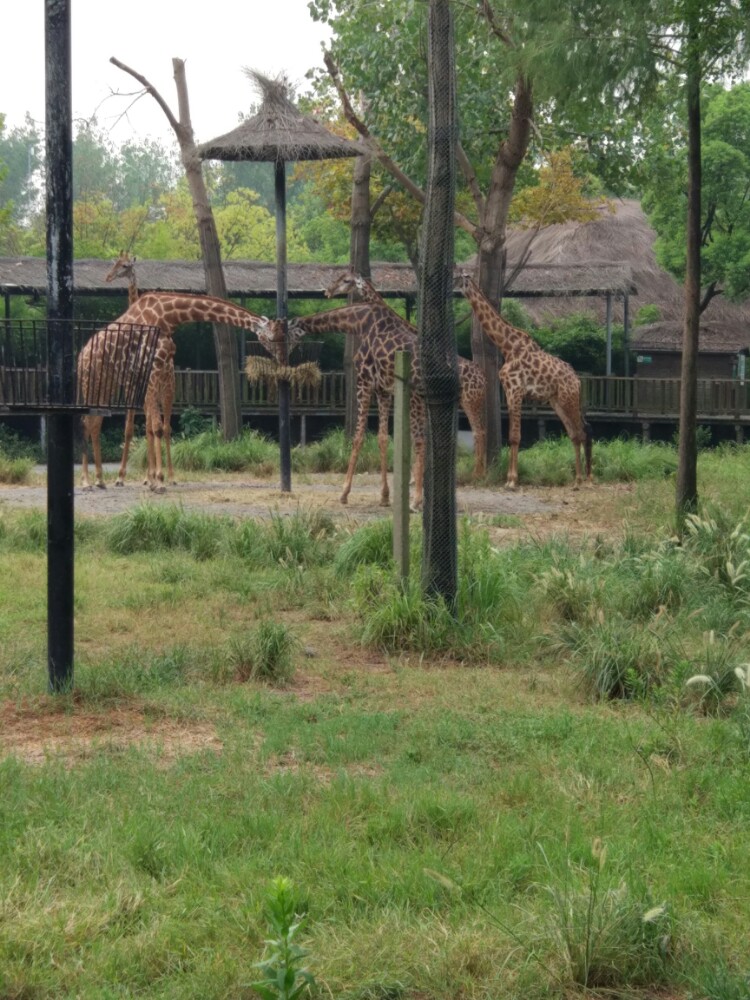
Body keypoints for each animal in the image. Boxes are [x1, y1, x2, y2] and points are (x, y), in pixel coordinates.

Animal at [78, 292, 270, 490]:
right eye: (270, 335)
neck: (166, 316)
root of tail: (82, 353)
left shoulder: (157, 381)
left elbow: (155, 427)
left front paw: (154, 479)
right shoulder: (150, 375)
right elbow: (153, 427)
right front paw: (157, 480)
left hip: (106, 386)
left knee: (95, 422)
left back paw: (99, 480)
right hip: (90, 382)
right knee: (86, 421)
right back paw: (87, 481)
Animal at [104, 248, 181, 486]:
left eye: (126, 265)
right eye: (115, 263)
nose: (108, 277)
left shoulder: (133, 387)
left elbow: (133, 428)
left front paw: (122, 476)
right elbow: (141, 427)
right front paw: (147, 476)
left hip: (167, 390)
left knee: (164, 426)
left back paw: (169, 476)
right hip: (159, 391)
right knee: (161, 426)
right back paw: (161, 476)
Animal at [326, 272, 490, 478]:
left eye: (346, 280)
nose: (328, 291)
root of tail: (484, 379)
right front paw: (414, 475)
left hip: (469, 401)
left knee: (478, 431)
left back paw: (477, 474)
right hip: (470, 401)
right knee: (478, 431)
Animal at [452, 270, 592, 488]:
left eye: (457, 277)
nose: (450, 289)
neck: (507, 346)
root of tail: (577, 381)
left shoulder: (516, 391)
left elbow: (515, 437)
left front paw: (512, 480)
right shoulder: (510, 393)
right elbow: (511, 436)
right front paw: (510, 478)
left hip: (568, 398)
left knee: (583, 431)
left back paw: (588, 480)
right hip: (557, 401)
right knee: (575, 434)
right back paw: (577, 480)